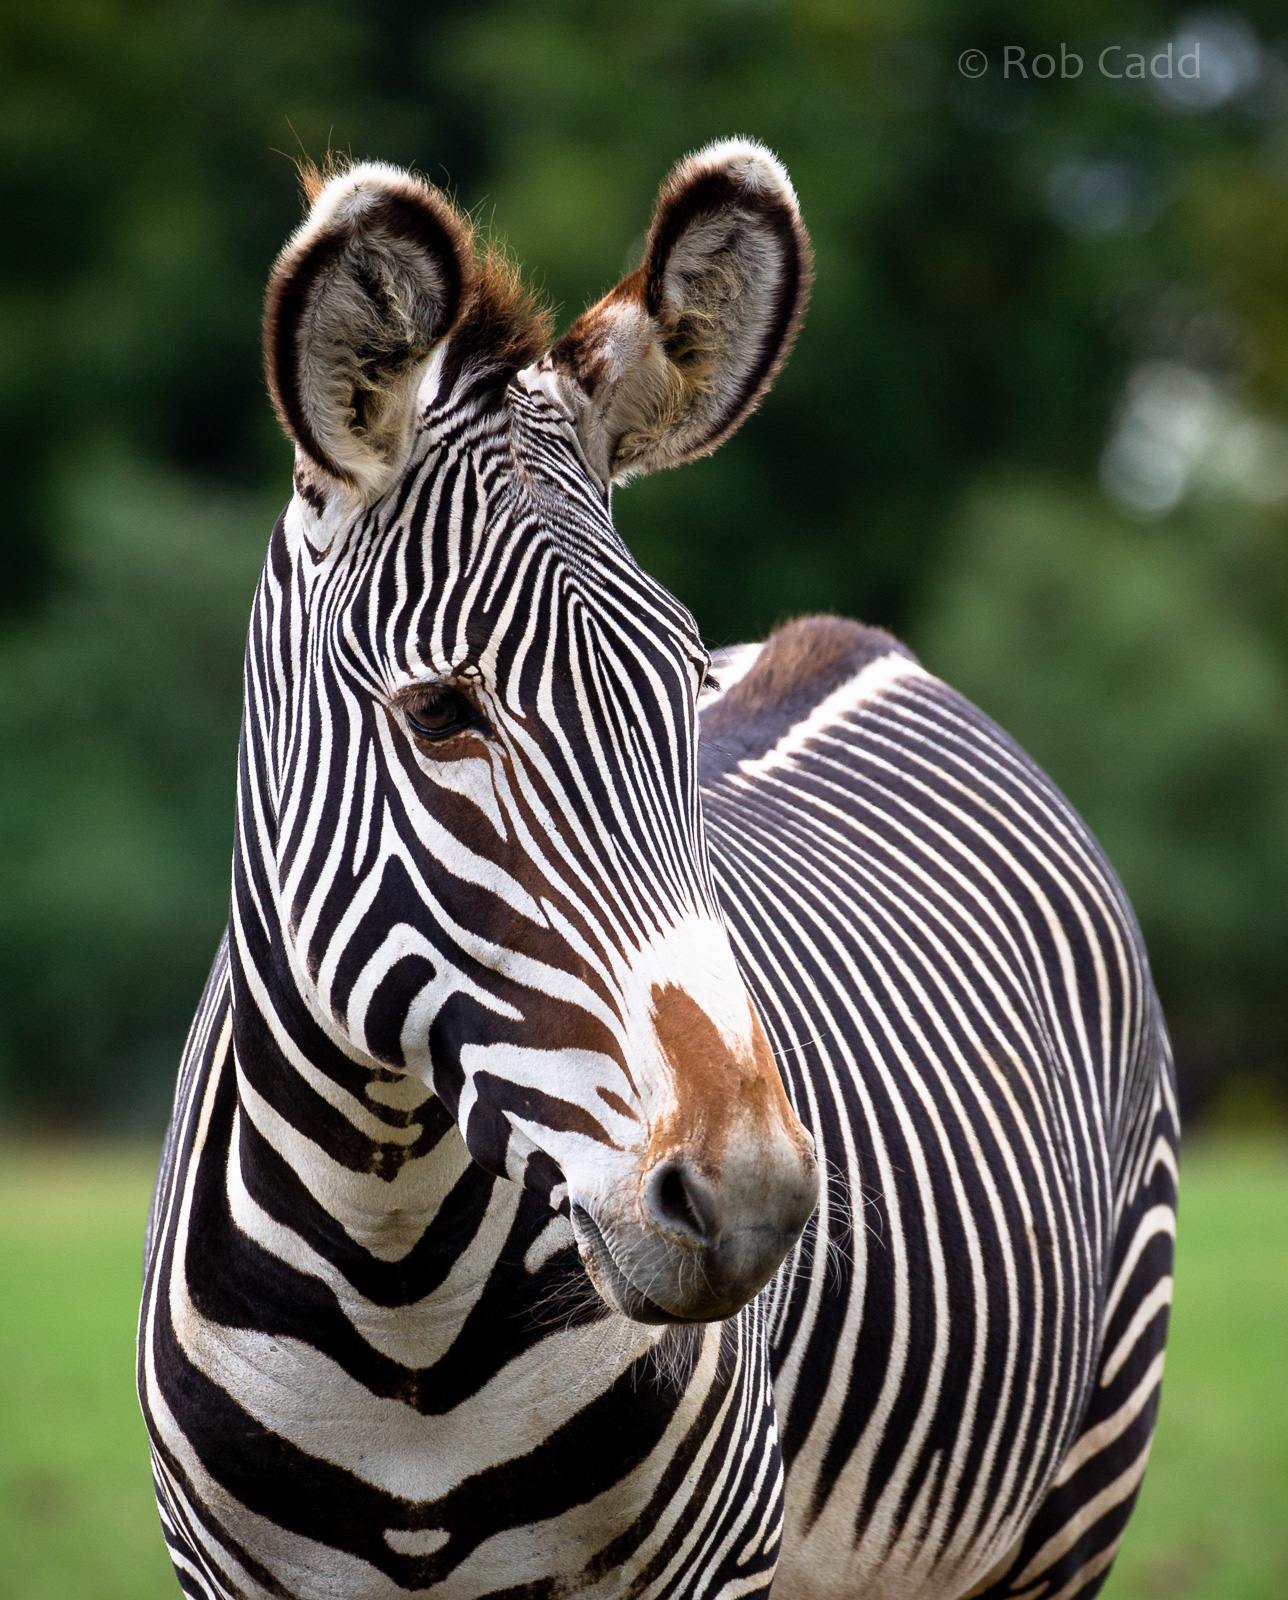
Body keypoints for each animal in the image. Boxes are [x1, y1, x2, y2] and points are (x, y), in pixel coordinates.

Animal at [139, 140, 1178, 1600]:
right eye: (441, 713)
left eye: (680, 689)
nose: (757, 1200)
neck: (396, 1294)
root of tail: (865, 646)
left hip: (1079, 1483)